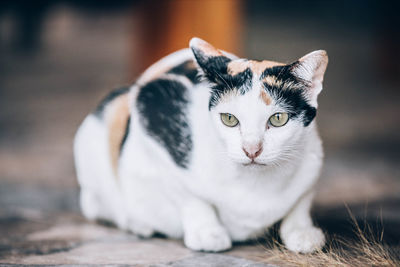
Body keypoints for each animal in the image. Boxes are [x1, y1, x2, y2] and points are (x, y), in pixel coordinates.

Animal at [74, 37, 328, 253]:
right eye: (229, 119)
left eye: (278, 119)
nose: (251, 150)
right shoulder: (150, 107)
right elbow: (187, 194)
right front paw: (208, 233)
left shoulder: (314, 159)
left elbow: (302, 199)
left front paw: (302, 231)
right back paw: (136, 223)